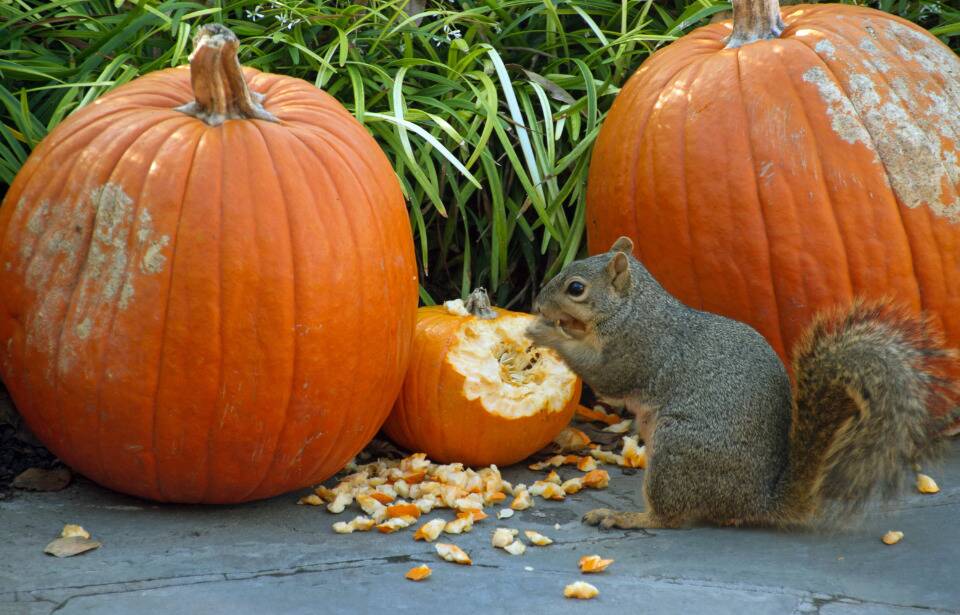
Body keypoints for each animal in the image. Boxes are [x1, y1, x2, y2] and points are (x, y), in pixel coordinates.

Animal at [527, 236, 959, 529]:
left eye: (576, 288)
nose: (535, 302)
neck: (634, 308)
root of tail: (754, 502)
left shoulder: (636, 349)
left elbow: (605, 377)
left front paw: (545, 332)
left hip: (677, 449)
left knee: (669, 518)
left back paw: (625, 517)